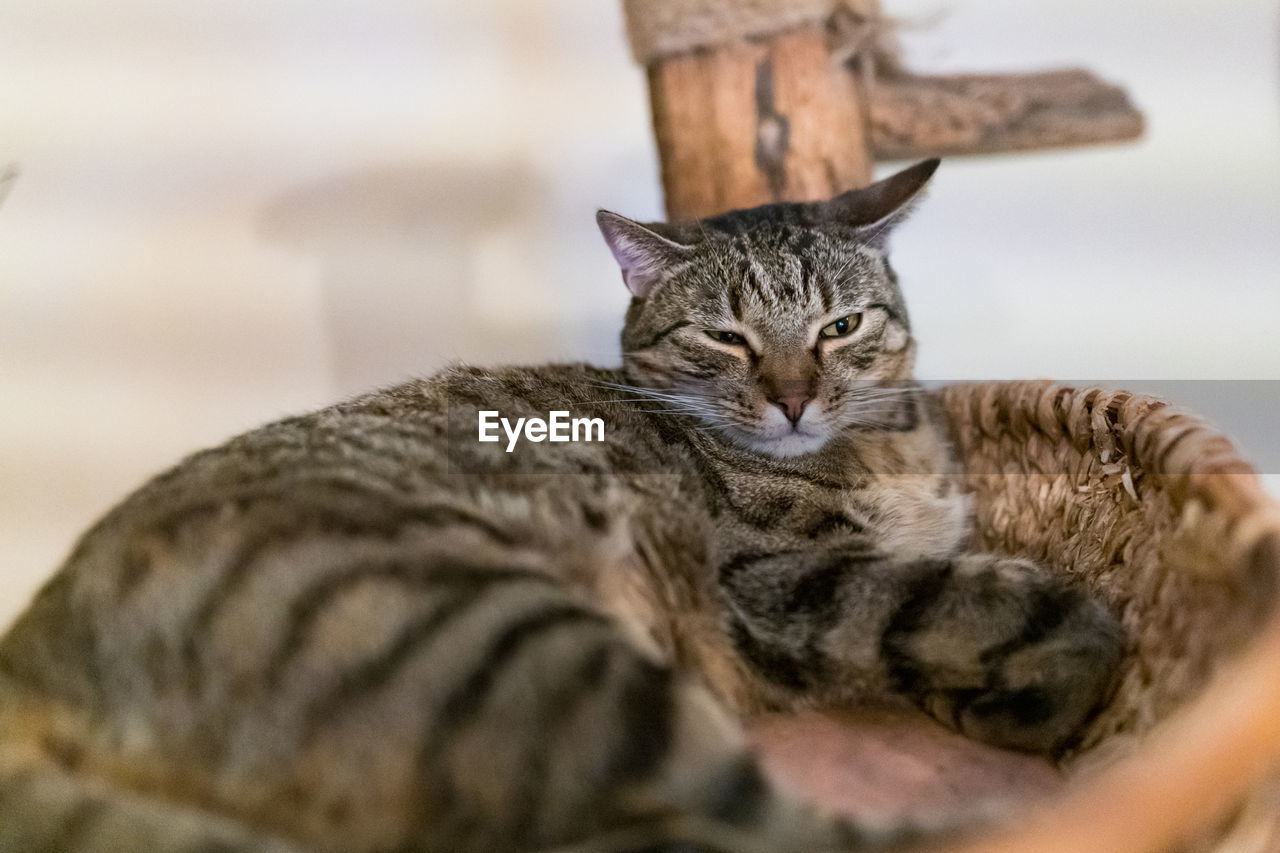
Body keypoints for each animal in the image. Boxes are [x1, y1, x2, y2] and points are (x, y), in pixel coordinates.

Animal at [0, 157, 1121, 845]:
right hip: (519, 646)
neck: (882, 450)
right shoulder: (784, 583)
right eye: (725, 336)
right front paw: (1029, 691)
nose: (795, 396)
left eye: (841, 324)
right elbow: (1036, 608)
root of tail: (35, 646)